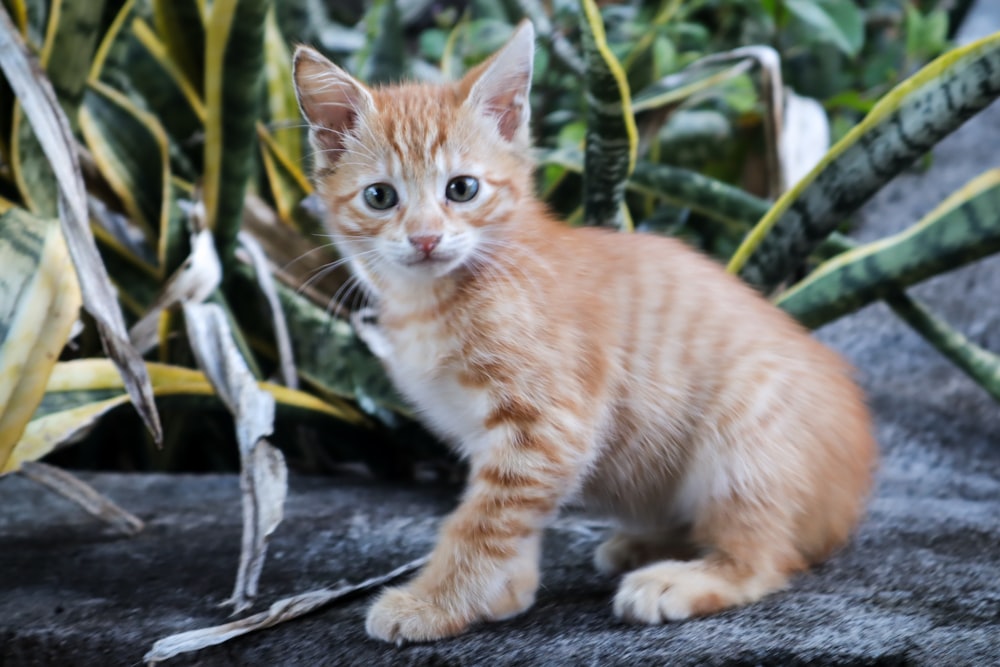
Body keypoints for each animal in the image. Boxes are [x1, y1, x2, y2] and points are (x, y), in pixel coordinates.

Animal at [292, 23, 876, 644]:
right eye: (380, 196)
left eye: (462, 189)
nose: (425, 239)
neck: (436, 299)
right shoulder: (499, 439)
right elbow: (507, 513)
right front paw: (505, 590)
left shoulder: (550, 425)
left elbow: (481, 523)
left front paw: (436, 603)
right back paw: (646, 544)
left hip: (747, 433)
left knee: (766, 558)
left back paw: (682, 578)